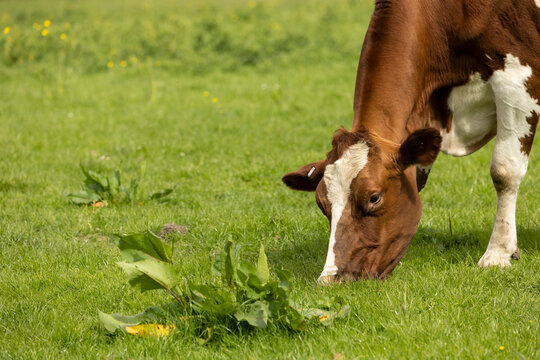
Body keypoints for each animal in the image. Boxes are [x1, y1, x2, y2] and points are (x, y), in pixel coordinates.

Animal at [280, 0, 536, 282]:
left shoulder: (517, 78)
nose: (330, 279)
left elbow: (504, 171)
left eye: (374, 197)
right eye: (321, 203)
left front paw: (498, 253)